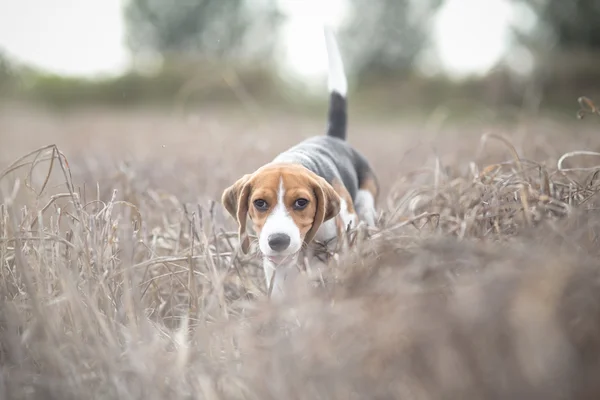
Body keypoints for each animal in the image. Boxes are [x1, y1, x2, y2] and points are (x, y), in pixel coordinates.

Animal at [220, 27, 380, 296]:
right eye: (259, 203)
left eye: (301, 202)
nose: (278, 241)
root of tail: (332, 137)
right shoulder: (276, 264)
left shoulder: (338, 241)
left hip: (366, 209)